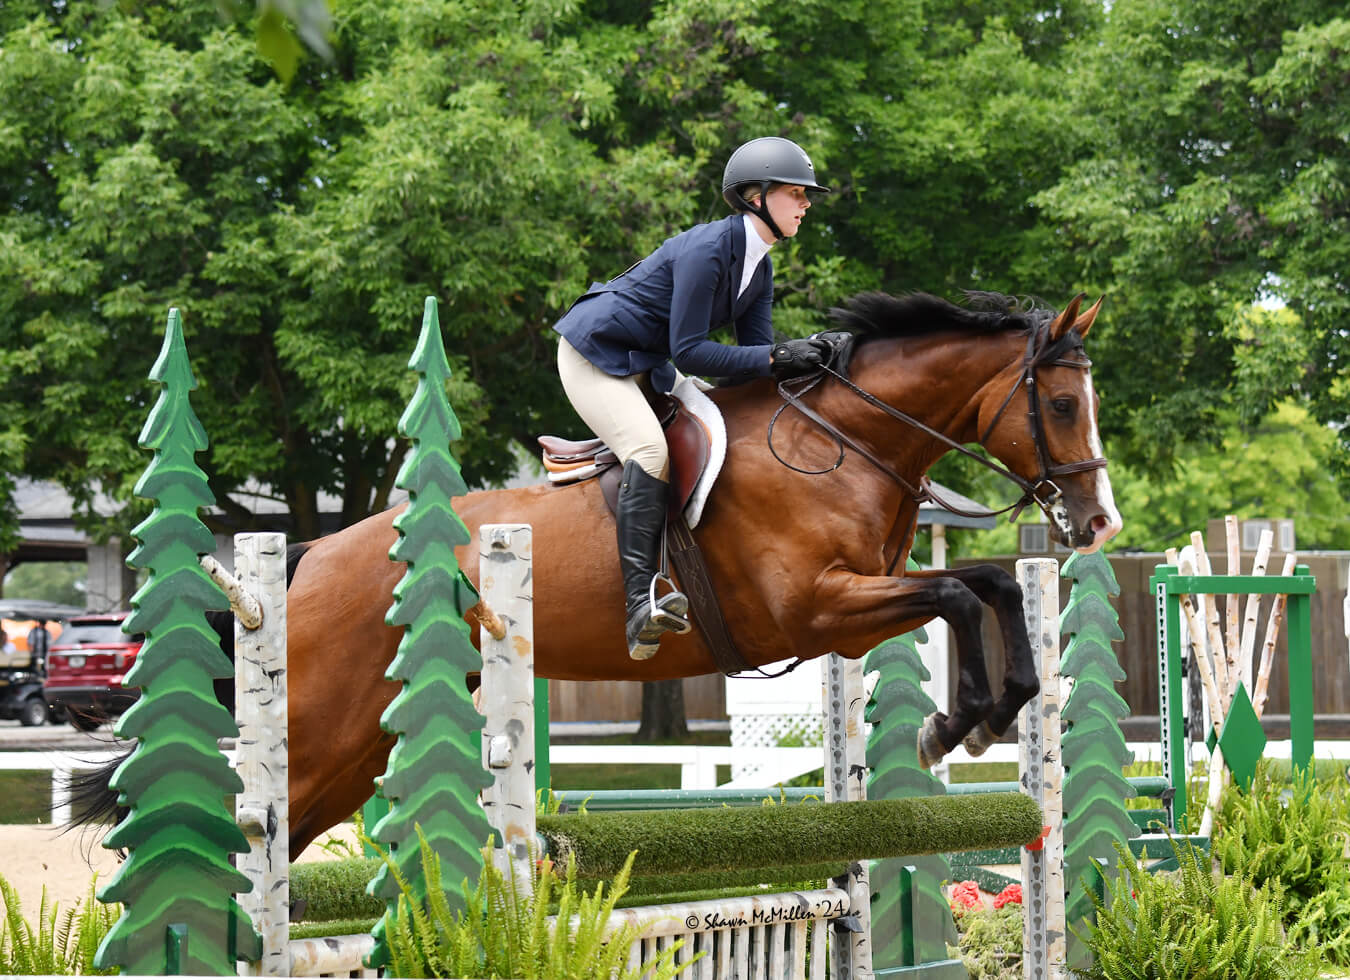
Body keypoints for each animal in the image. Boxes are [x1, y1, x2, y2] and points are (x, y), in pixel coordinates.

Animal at [78, 287, 1123, 858]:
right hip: (327, 721)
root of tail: (309, 555)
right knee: (251, 823)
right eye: (1060, 405)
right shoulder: (816, 610)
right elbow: (954, 592)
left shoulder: (859, 600)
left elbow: (990, 585)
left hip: (358, 749)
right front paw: (959, 723)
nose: (1097, 523)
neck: (840, 443)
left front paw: (990, 712)